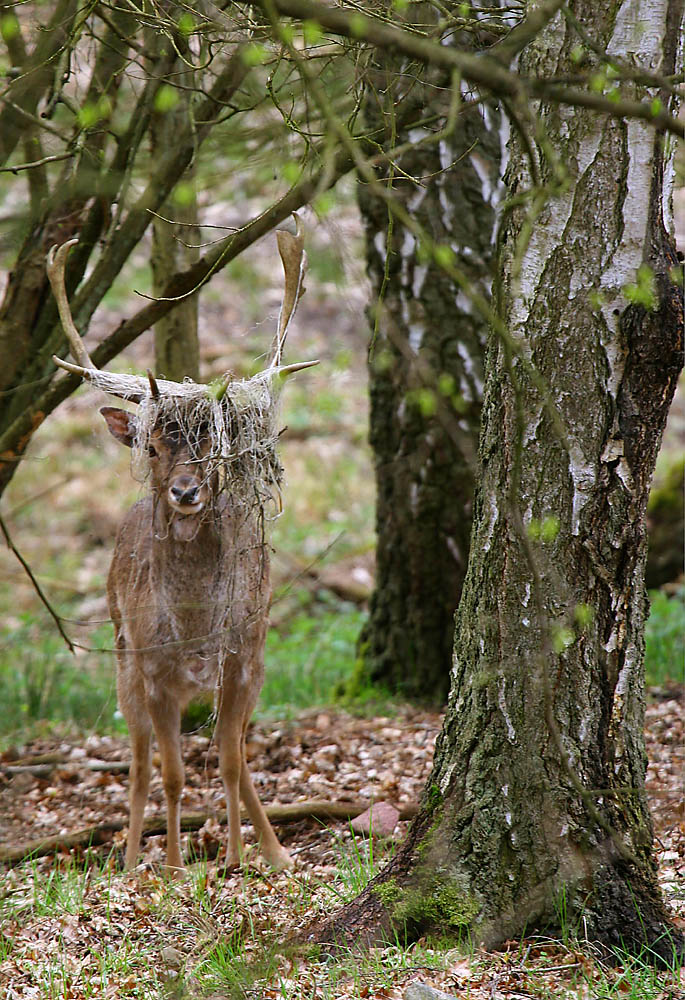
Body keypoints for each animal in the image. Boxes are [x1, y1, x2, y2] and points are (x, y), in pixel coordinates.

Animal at [46, 223, 316, 872]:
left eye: (216, 444)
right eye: (152, 447)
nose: (185, 491)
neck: (193, 627)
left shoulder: (246, 658)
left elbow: (232, 762)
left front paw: (240, 858)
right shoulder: (155, 670)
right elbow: (170, 774)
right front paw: (170, 866)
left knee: (232, 751)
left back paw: (276, 853)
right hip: (122, 657)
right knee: (140, 762)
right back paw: (128, 859)